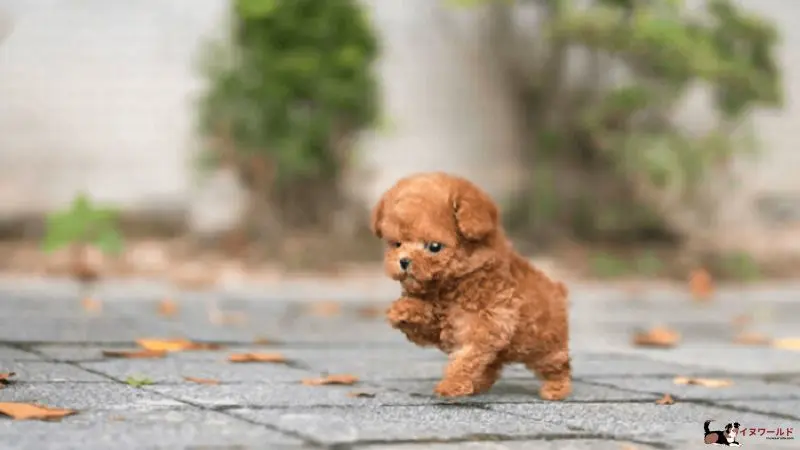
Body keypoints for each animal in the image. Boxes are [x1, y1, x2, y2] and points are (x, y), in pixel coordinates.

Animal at [372, 172, 572, 400]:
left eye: (434, 247)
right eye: (396, 244)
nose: (404, 261)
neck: (452, 284)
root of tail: (557, 289)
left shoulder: (487, 325)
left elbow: (466, 358)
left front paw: (451, 384)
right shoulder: (440, 327)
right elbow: (426, 319)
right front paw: (402, 310)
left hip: (543, 344)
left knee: (557, 364)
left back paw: (556, 388)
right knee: (492, 365)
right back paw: (479, 385)